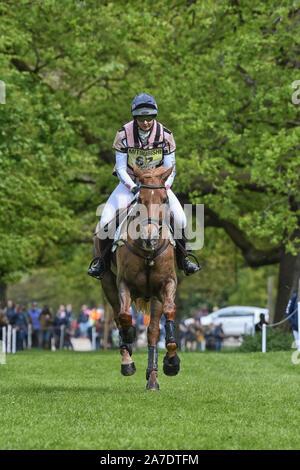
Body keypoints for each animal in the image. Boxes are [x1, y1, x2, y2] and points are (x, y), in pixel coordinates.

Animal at [101, 163, 180, 392]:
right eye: (140, 200)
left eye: (164, 199)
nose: (150, 237)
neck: (147, 253)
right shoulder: (123, 284)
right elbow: (125, 317)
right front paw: (128, 345)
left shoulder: (167, 284)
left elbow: (168, 314)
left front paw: (172, 362)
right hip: (107, 283)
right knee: (117, 316)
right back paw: (127, 358)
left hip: (154, 297)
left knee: (152, 331)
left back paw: (153, 378)